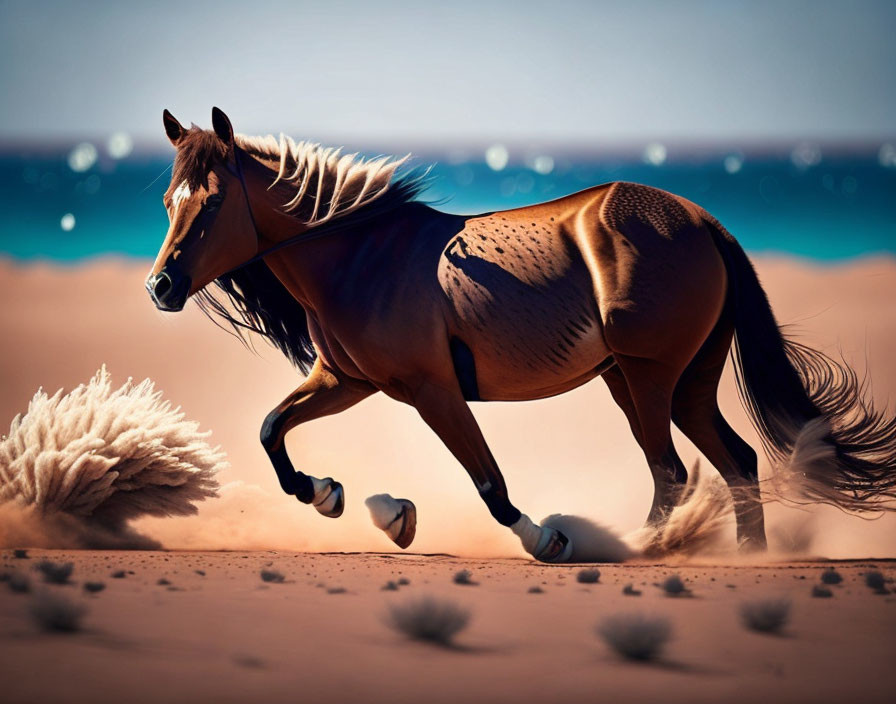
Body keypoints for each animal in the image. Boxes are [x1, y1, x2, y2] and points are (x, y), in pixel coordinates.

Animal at [147, 108, 896, 560]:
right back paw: (743, 556)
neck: (360, 252)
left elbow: (490, 484)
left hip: (648, 377)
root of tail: (701, 221)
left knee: (672, 471)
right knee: (734, 462)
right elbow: (272, 431)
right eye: (167, 200)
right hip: (673, 382)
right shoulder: (349, 381)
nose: (160, 287)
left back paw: (637, 547)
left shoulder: (432, 390)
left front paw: (543, 540)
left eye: (213, 202)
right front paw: (328, 495)